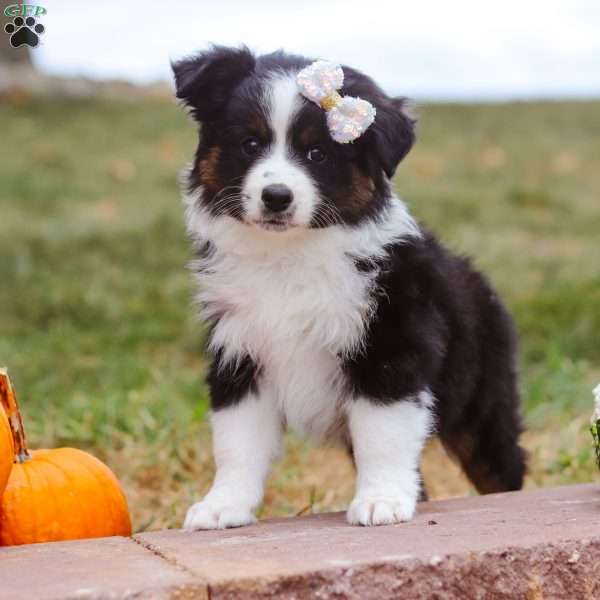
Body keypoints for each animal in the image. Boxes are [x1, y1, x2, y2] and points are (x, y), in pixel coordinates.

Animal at [172, 44, 524, 528]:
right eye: (250, 144)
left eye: (318, 153)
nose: (276, 197)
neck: (288, 256)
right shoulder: (239, 354)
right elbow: (236, 442)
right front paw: (223, 505)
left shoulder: (390, 349)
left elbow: (383, 434)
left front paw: (381, 501)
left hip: (482, 405)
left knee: (502, 468)